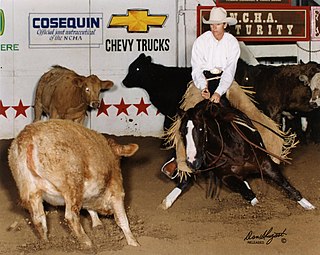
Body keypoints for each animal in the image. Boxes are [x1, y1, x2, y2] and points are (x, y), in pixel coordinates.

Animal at [7, 120, 139, 248]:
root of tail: (28, 137)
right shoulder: (116, 192)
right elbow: (122, 219)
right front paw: (134, 243)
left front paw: (97, 224)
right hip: (72, 185)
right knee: (71, 216)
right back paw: (87, 243)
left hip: (31, 191)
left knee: (38, 218)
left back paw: (46, 243)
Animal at [161, 100, 316, 210]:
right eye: (182, 132)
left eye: (200, 128)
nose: (192, 162)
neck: (233, 151)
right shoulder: (226, 177)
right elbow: (247, 193)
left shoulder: (265, 163)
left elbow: (285, 184)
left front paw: (309, 206)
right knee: (185, 180)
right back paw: (167, 200)